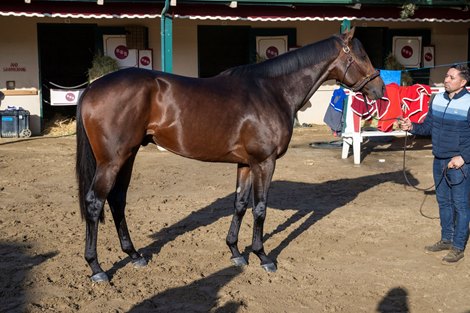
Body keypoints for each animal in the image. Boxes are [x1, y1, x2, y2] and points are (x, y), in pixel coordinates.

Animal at [75, 28, 384, 282]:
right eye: (362, 56)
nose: (379, 89)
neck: (272, 91)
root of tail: (92, 88)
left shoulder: (246, 164)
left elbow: (240, 204)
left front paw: (235, 252)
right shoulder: (265, 162)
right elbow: (260, 208)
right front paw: (263, 256)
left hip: (128, 156)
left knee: (117, 200)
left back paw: (134, 255)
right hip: (112, 161)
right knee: (95, 202)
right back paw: (97, 268)